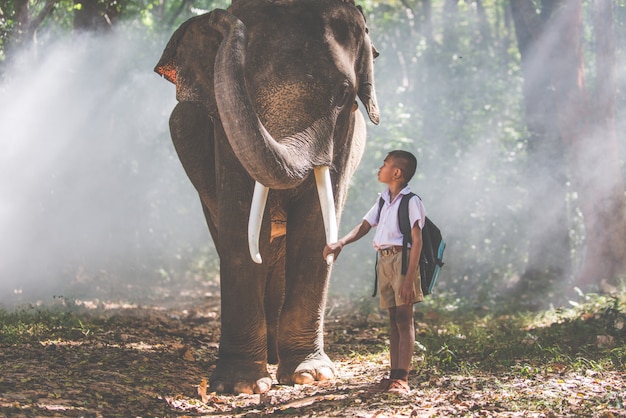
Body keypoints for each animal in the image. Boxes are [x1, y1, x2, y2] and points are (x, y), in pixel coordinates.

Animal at [155, 0, 380, 394]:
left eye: (343, 93)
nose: (218, 17)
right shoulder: (223, 131)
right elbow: (240, 228)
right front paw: (239, 385)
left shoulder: (345, 137)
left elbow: (313, 233)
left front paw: (309, 376)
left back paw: (277, 358)